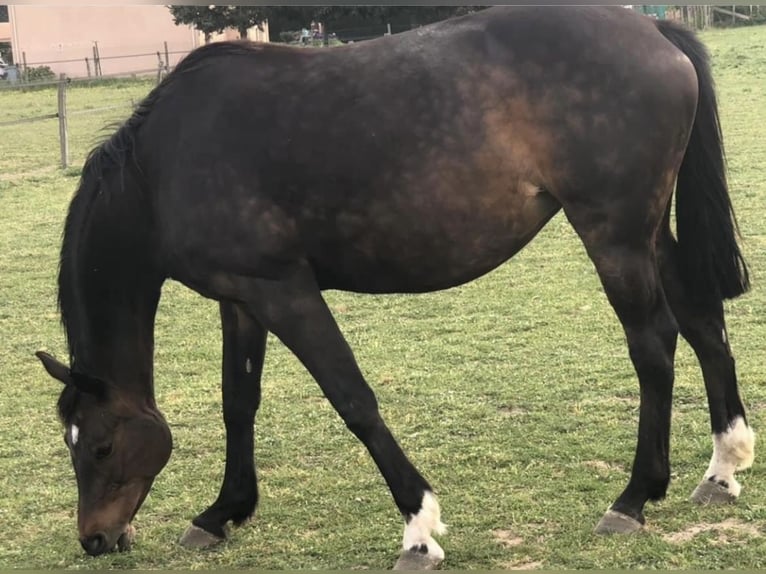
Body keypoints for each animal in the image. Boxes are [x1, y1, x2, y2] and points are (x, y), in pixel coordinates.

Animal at [37, 5, 756, 572]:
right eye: (71, 446)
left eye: (100, 445)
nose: (95, 538)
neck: (165, 167)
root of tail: (653, 29)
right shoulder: (238, 299)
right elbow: (238, 404)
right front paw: (222, 512)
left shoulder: (283, 291)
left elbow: (354, 400)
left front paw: (419, 530)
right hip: (646, 233)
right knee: (703, 321)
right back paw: (722, 467)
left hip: (614, 234)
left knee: (655, 344)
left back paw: (634, 498)